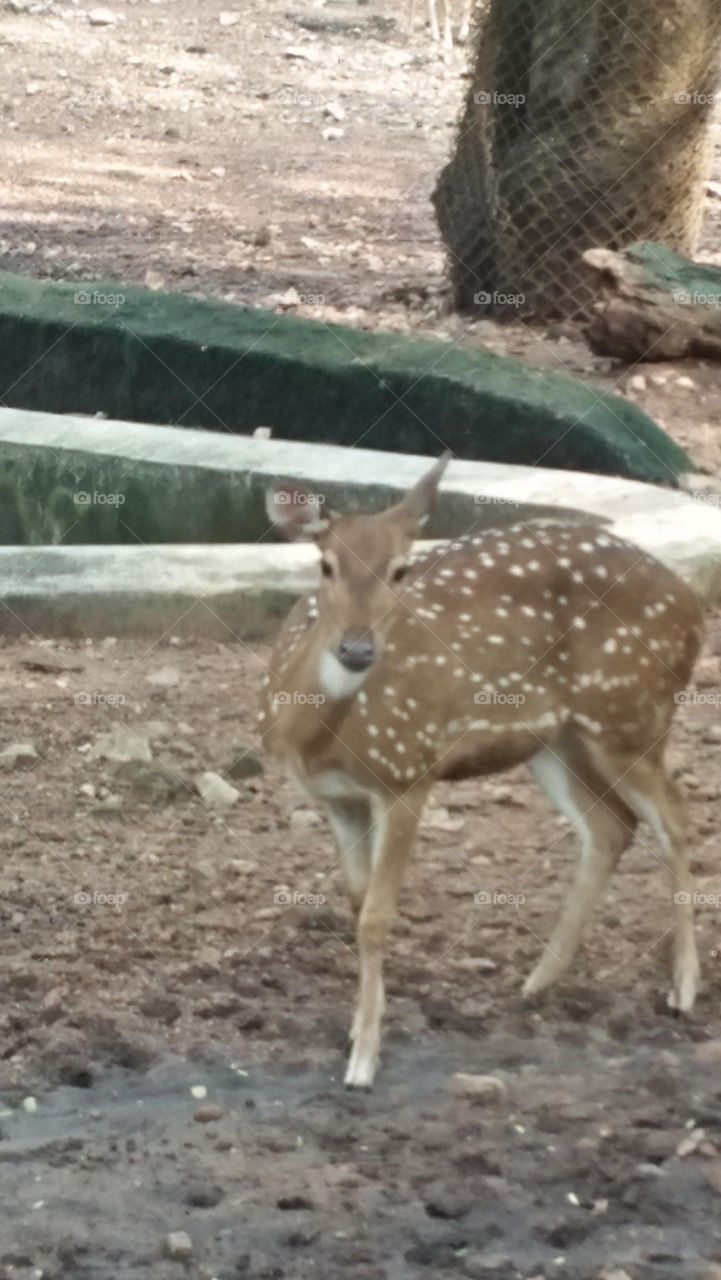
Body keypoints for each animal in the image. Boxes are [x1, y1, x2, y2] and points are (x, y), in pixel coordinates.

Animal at [260, 455, 705, 1088]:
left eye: (401, 570)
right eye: (326, 565)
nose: (357, 650)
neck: (320, 738)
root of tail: (692, 604)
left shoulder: (408, 772)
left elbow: (376, 916)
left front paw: (364, 1059)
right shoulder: (335, 798)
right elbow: (355, 902)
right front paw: (360, 1026)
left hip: (630, 715)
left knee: (674, 815)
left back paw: (683, 987)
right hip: (555, 741)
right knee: (610, 826)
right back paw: (538, 981)